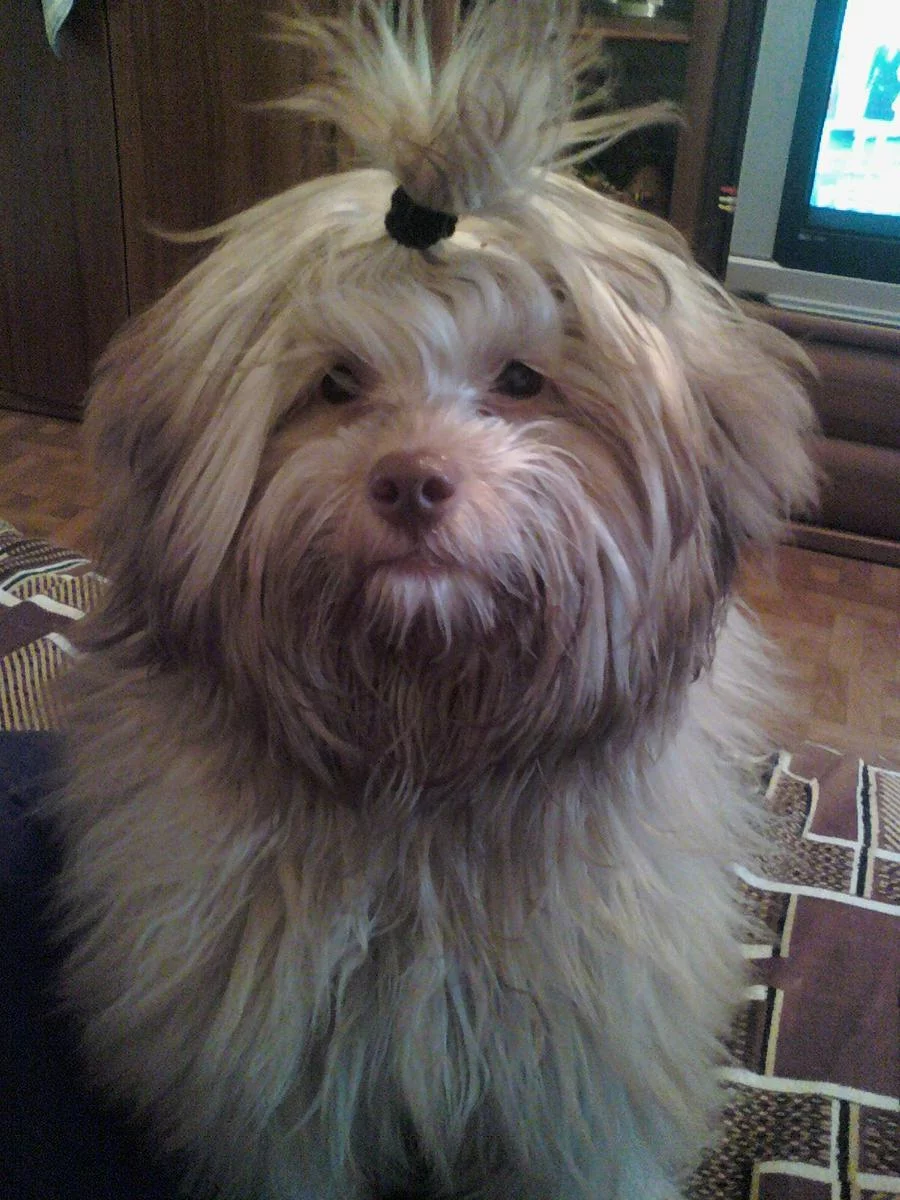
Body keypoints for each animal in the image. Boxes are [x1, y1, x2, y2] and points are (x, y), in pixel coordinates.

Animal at [52, 3, 816, 1197]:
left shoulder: (578, 1101)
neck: (426, 766)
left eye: (521, 381)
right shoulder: (273, 1099)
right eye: (335, 385)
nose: (412, 480)